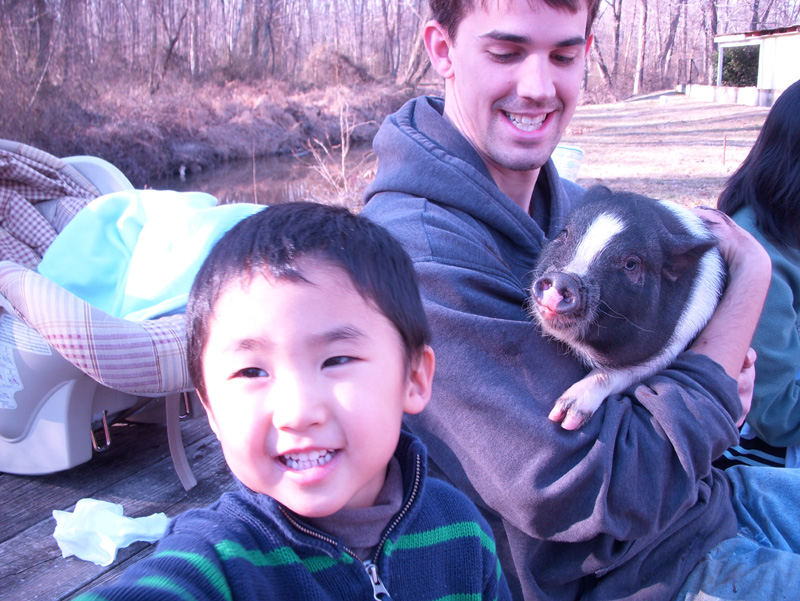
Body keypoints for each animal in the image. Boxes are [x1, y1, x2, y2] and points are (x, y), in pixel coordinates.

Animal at [530, 186, 726, 430]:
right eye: (564, 235)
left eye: (632, 264)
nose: (563, 279)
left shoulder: (676, 342)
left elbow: (618, 373)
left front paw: (563, 418)